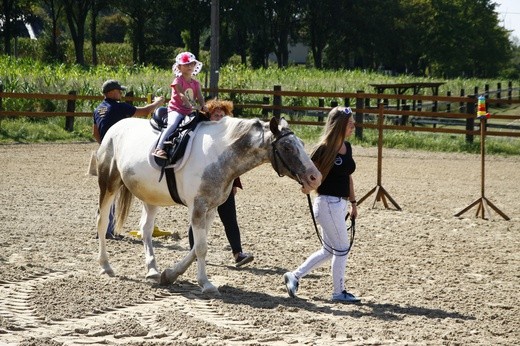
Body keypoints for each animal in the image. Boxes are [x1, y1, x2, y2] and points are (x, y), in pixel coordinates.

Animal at [95, 115, 318, 292]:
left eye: (301, 143)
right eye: (287, 147)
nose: (315, 177)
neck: (217, 156)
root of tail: (116, 127)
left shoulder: (210, 209)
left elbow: (196, 247)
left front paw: (170, 275)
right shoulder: (198, 208)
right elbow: (201, 247)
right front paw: (206, 284)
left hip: (151, 198)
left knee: (146, 230)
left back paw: (152, 270)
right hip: (108, 185)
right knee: (103, 222)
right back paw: (106, 266)